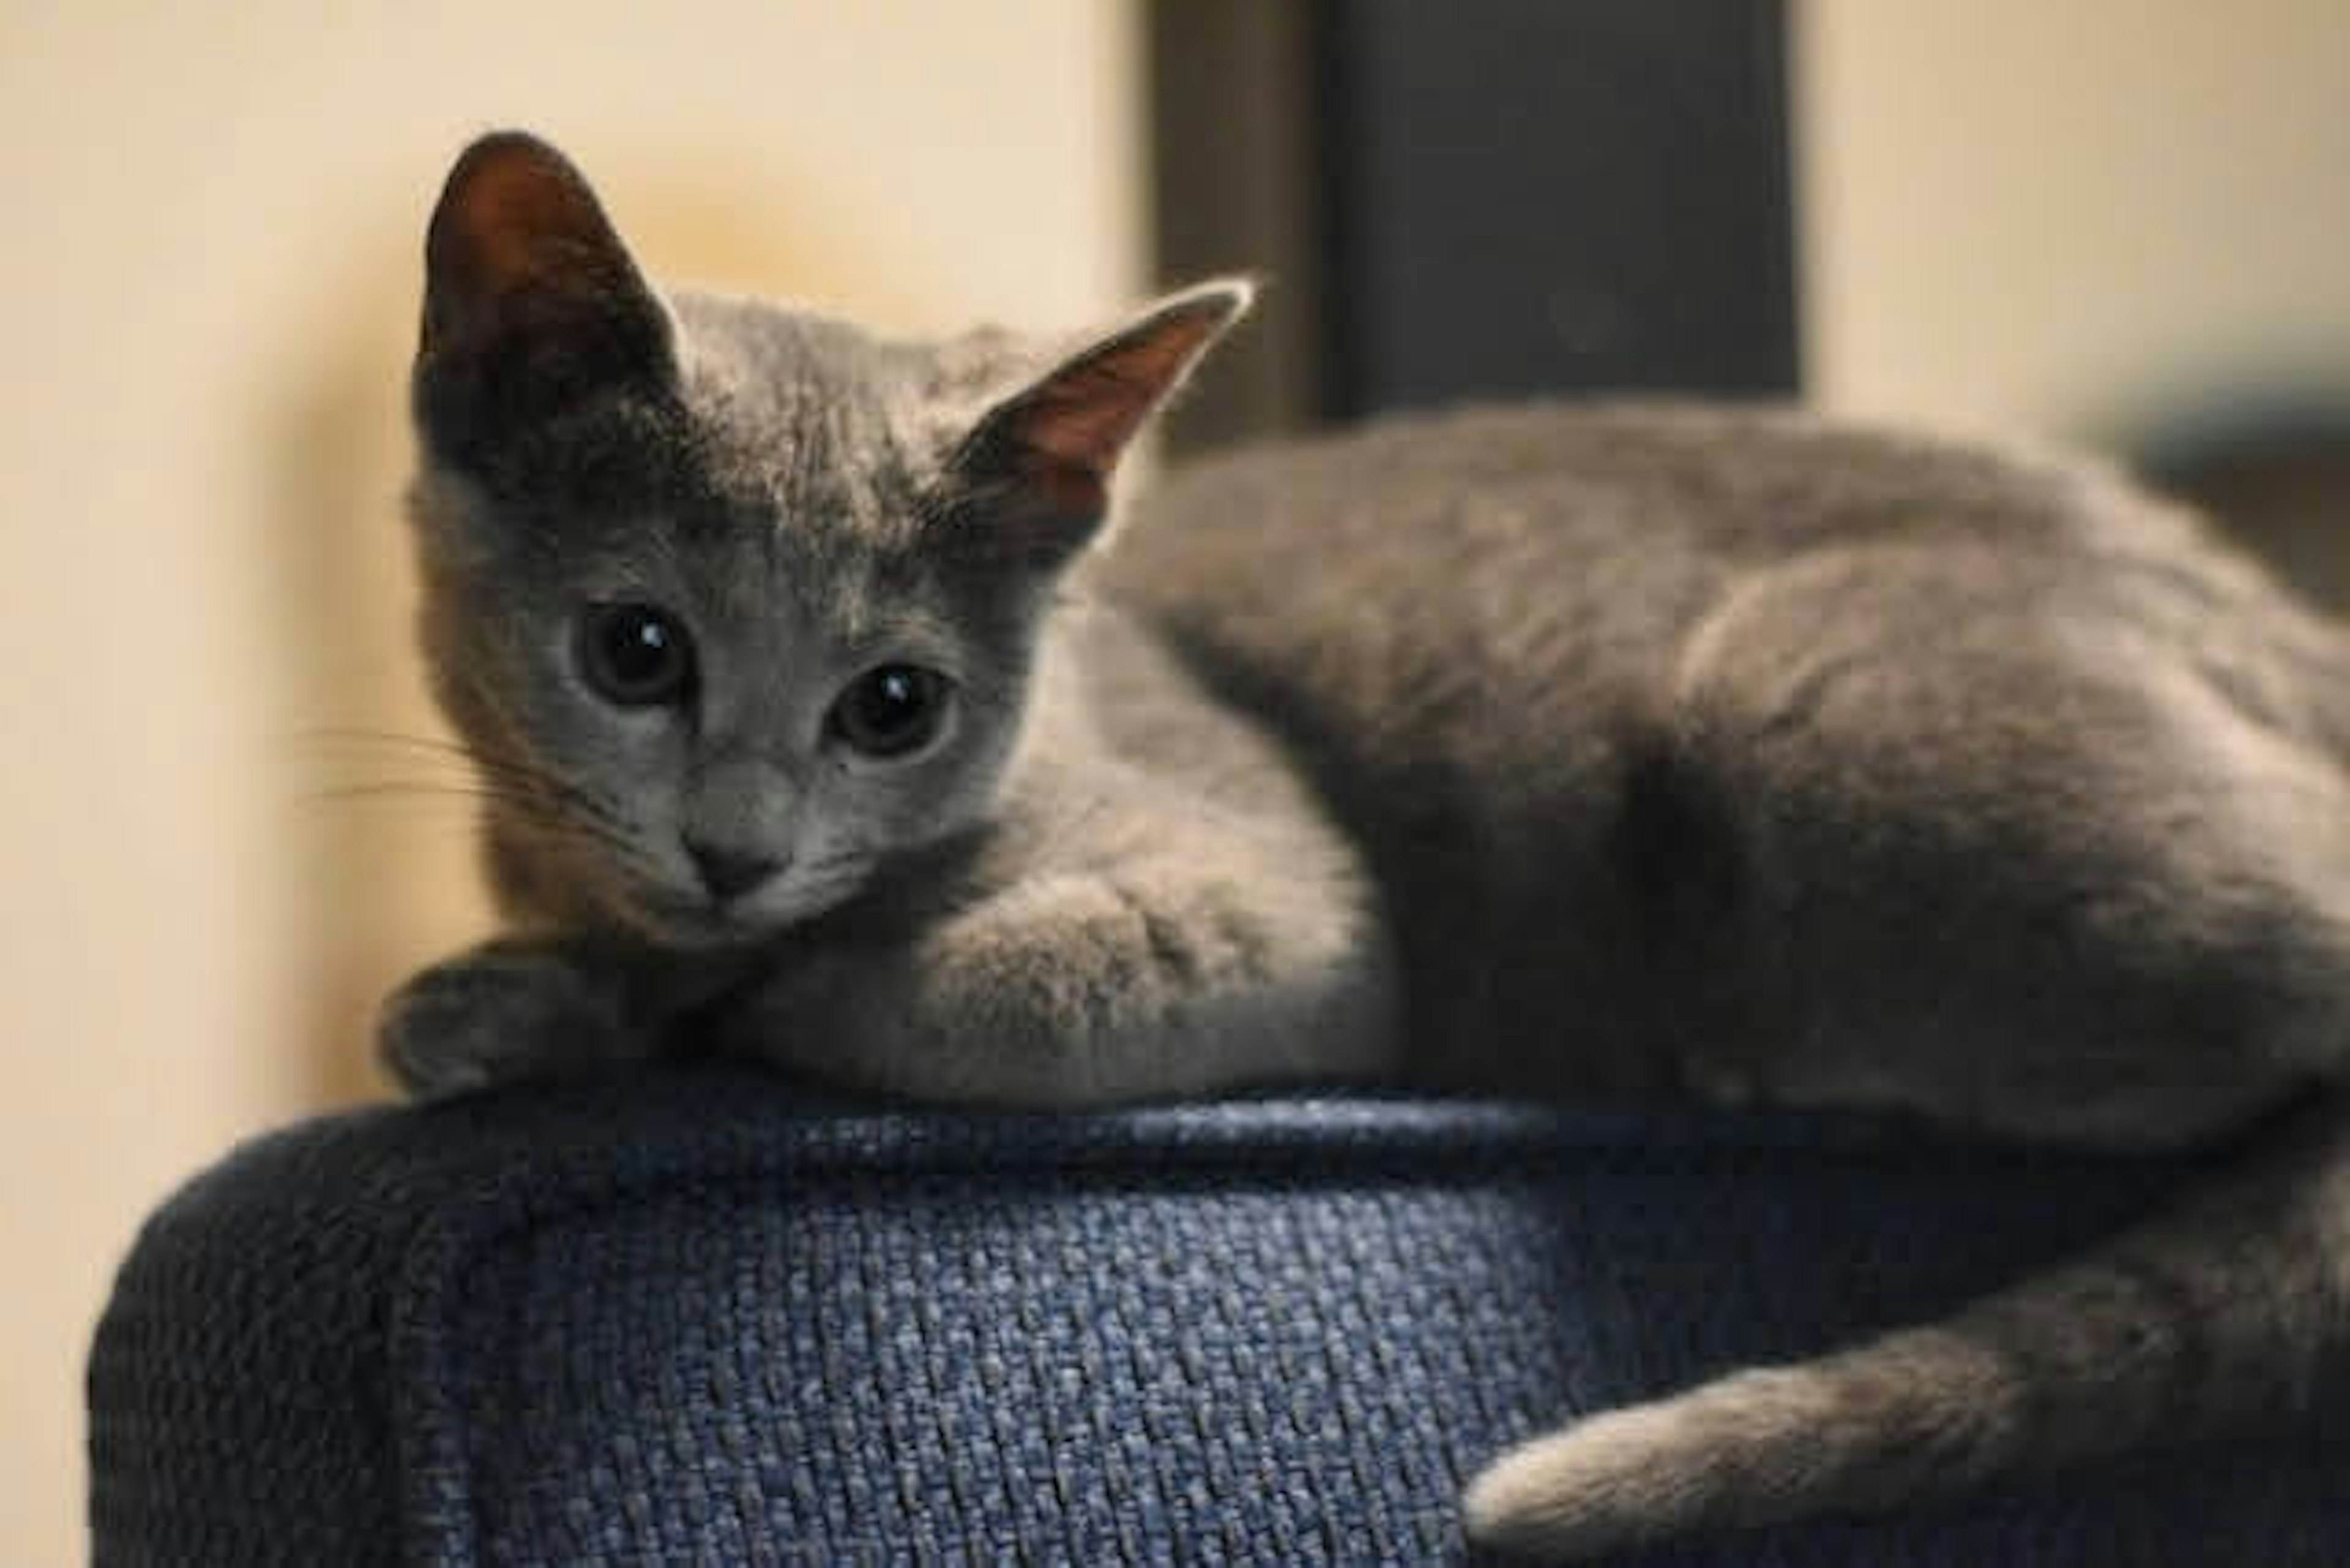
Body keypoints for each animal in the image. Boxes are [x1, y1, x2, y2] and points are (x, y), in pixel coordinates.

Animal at [376, 135, 2350, 1561]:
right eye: (636, 650)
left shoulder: (1283, 904)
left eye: (892, 706)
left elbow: (955, 980)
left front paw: (733, 995)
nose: (737, 848)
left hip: (1805, 694)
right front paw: (498, 1002)